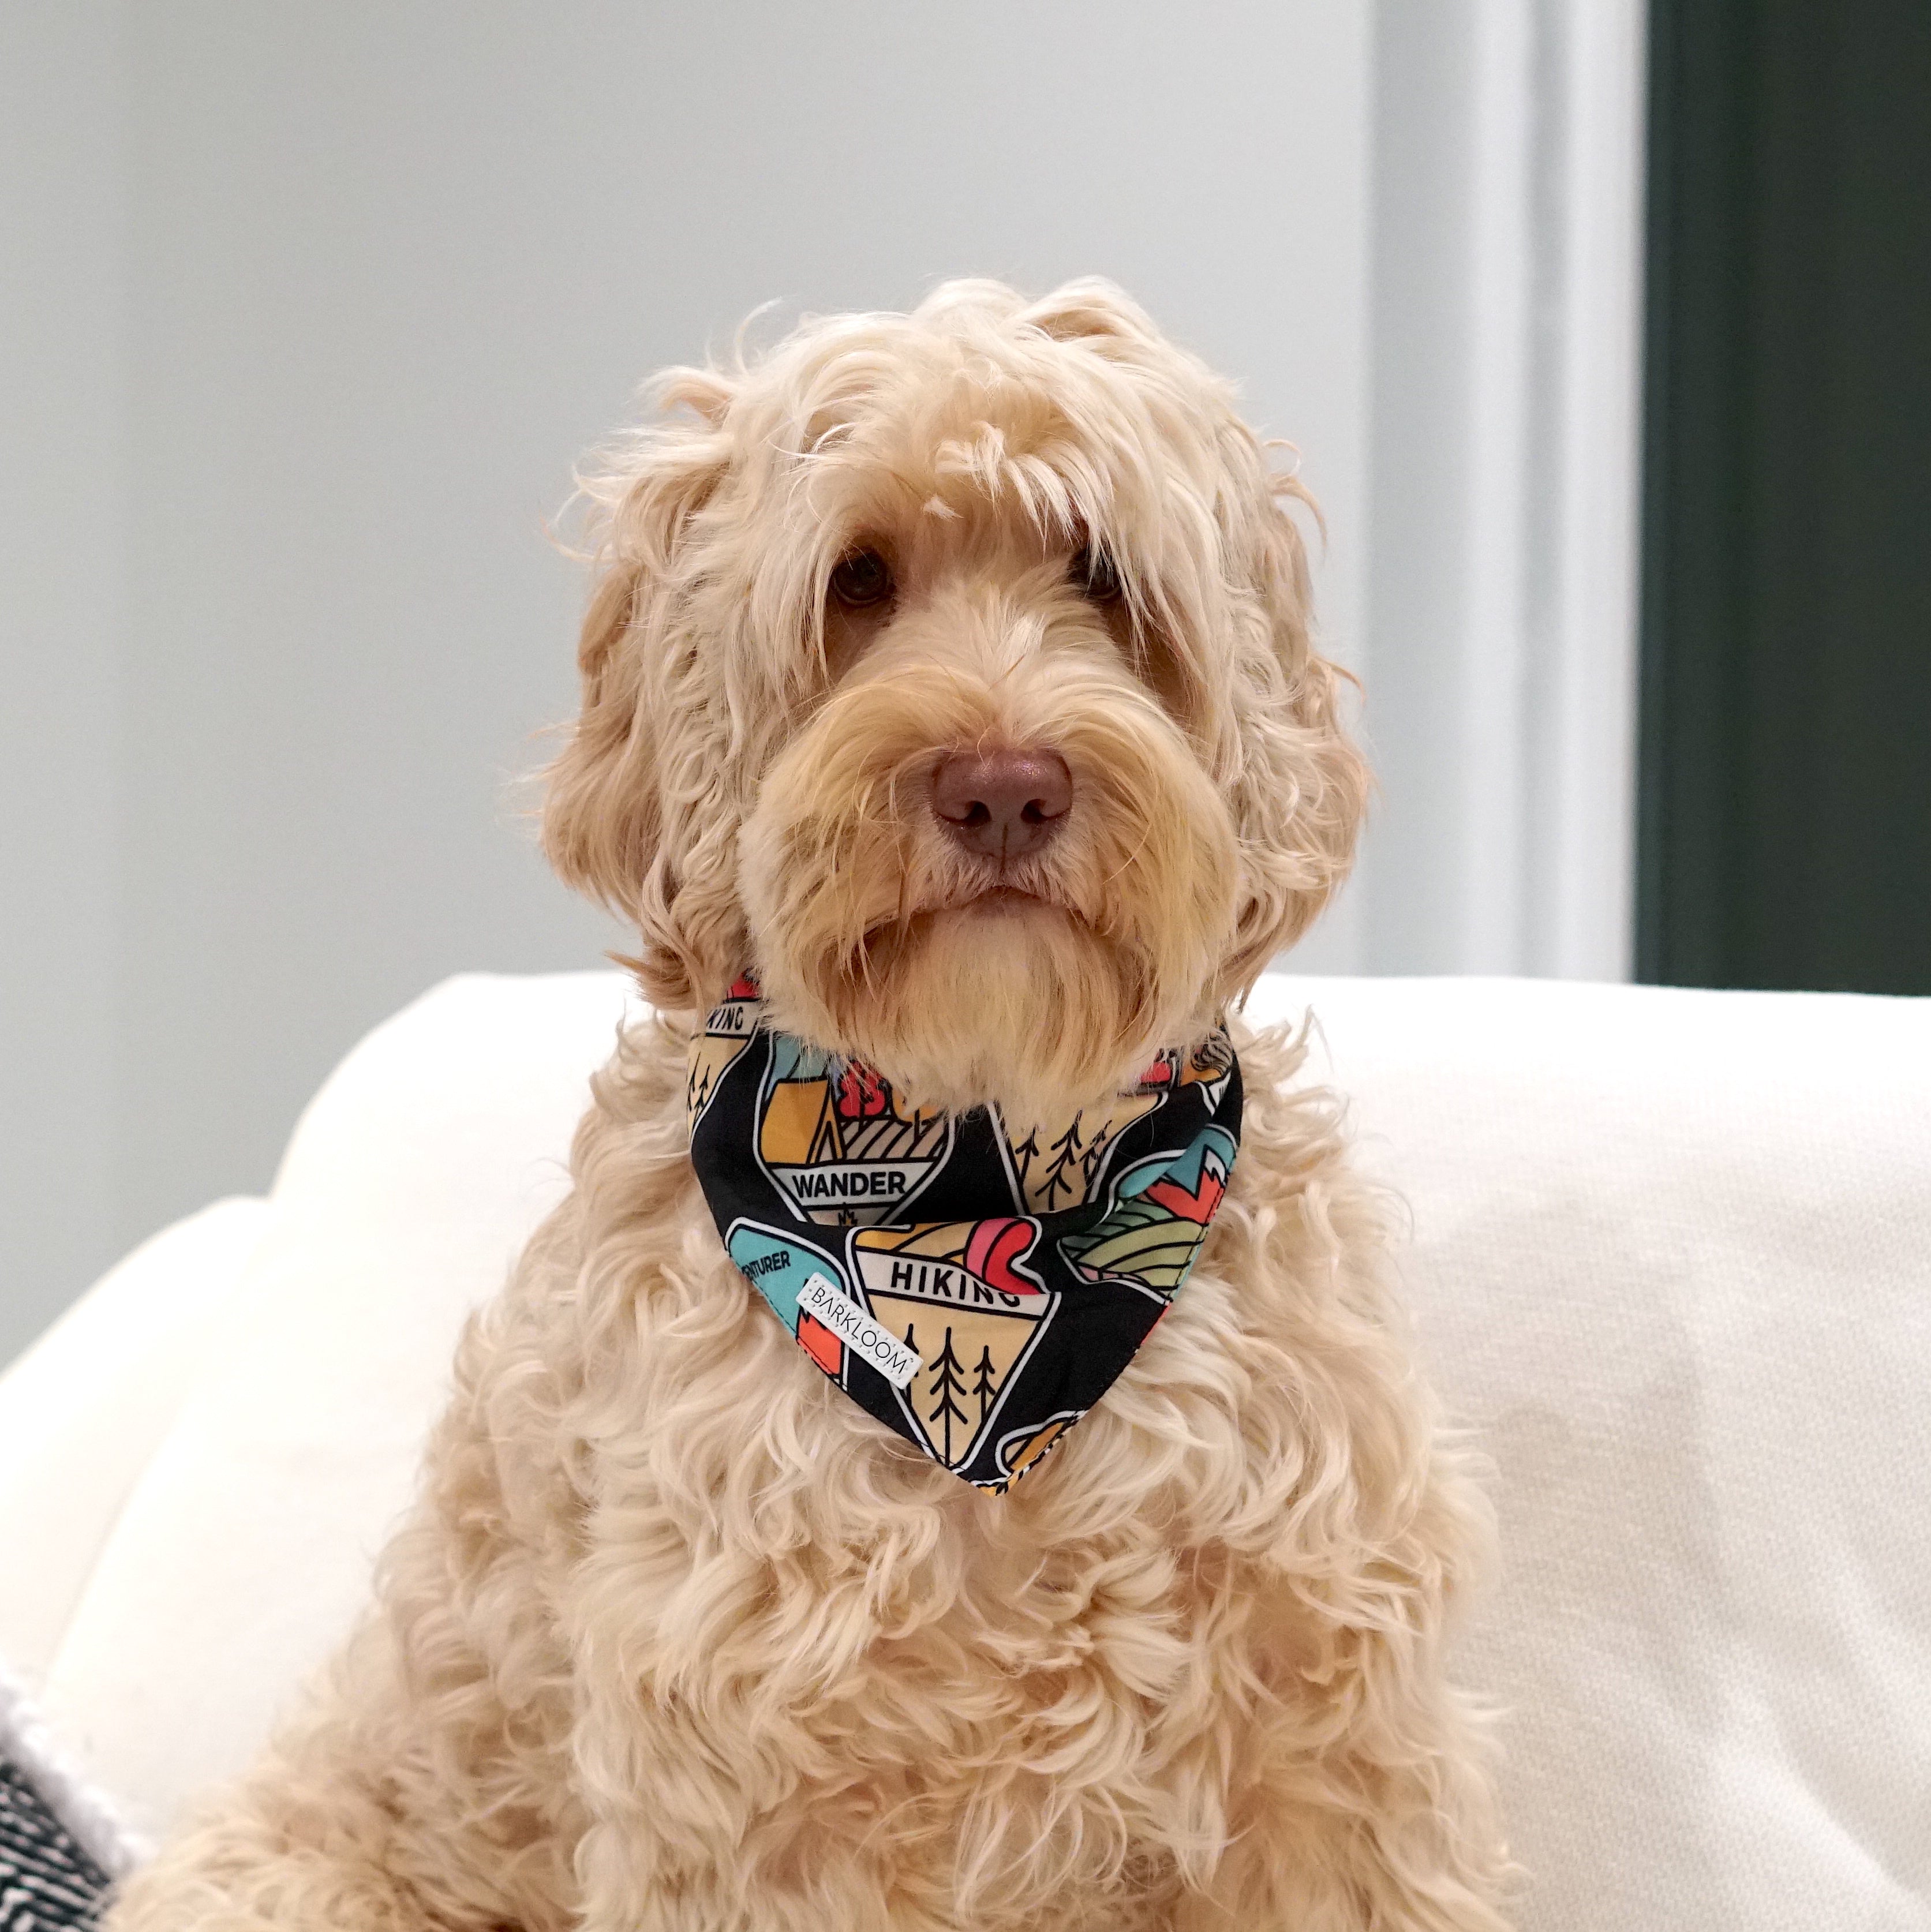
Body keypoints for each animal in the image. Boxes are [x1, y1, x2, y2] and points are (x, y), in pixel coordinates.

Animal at [106, 280, 1507, 1924]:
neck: (988, 1185)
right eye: (858, 580)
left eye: (1100, 574)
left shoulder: (1331, 1740)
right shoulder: (748, 1789)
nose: (1006, 785)